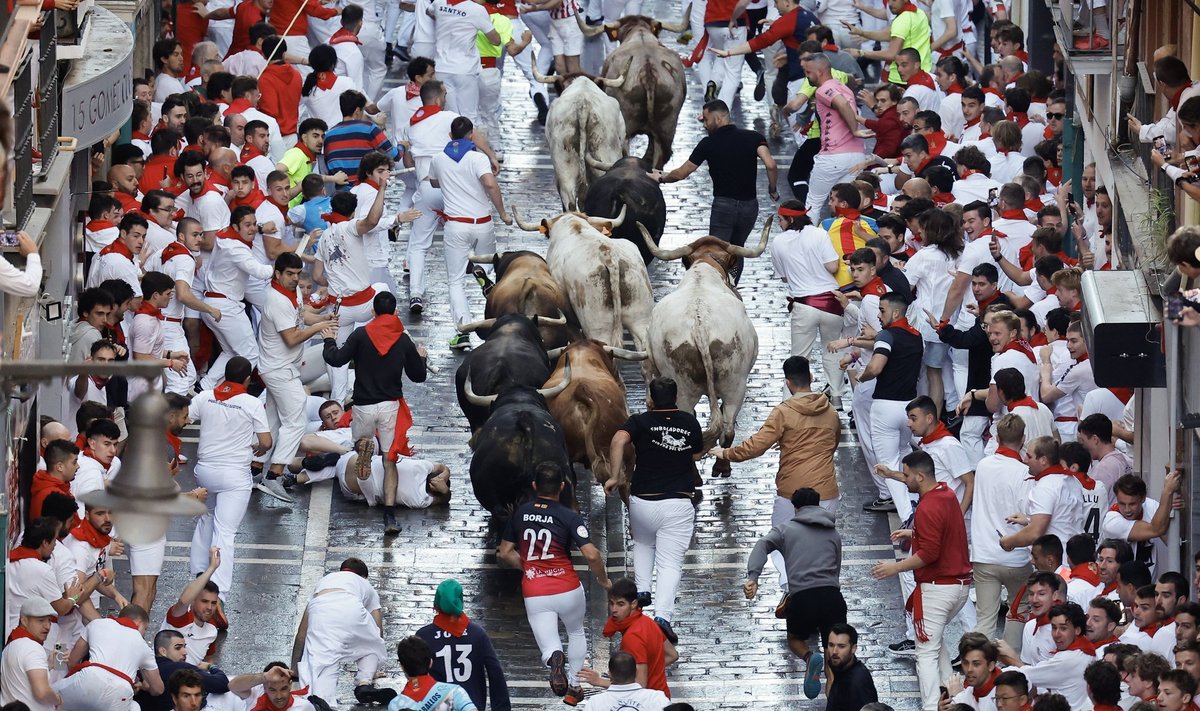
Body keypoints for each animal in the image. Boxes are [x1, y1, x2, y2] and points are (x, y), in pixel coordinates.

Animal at [638, 222, 768, 475]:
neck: (703, 272)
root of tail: (700, 325)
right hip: (735, 383)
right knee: (727, 428)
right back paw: (722, 467)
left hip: (686, 389)